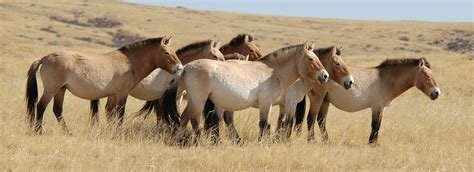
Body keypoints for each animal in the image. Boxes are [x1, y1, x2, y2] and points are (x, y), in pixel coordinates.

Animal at [24, 36, 183, 134]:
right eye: (166, 52)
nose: (180, 68)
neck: (129, 62)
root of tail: (45, 58)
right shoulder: (122, 93)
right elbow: (120, 113)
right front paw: (118, 132)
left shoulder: (113, 95)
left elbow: (110, 113)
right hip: (52, 89)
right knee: (41, 106)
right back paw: (38, 131)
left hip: (60, 90)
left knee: (57, 110)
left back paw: (68, 133)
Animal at [90, 39, 227, 125]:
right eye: (215, 56)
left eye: (221, 54)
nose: (224, 67)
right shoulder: (164, 97)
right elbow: (162, 115)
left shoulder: (176, 97)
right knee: (109, 110)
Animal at [161, 42, 328, 143]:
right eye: (310, 59)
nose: (325, 76)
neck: (274, 72)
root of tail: (186, 67)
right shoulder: (268, 102)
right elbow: (264, 124)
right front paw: (261, 142)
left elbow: (274, 124)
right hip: (199, 99)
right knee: (195, 120)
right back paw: (199, 142)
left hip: (192, 99)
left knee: (184, 118)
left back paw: (176, 140)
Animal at [206, 45, 354, 142]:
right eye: (337, 63)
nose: (350, 82)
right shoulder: (290, 102)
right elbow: (288, 122)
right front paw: (283, 140)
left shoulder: (282, 104)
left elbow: (280, 122)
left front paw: (276, 139)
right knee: (220, 119)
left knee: (225, 119)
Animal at [294, 57, 442, 144]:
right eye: (427, 75)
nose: (436, 93)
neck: (385, 79)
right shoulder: (376, 107)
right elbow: (375, 125)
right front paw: (371, 143)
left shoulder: (381, 108)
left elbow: (378, 125)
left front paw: (375, 143)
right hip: (318, 99)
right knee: (311, 119)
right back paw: (312, 141)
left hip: (325, 101)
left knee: (321, 120)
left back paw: (327, 142)